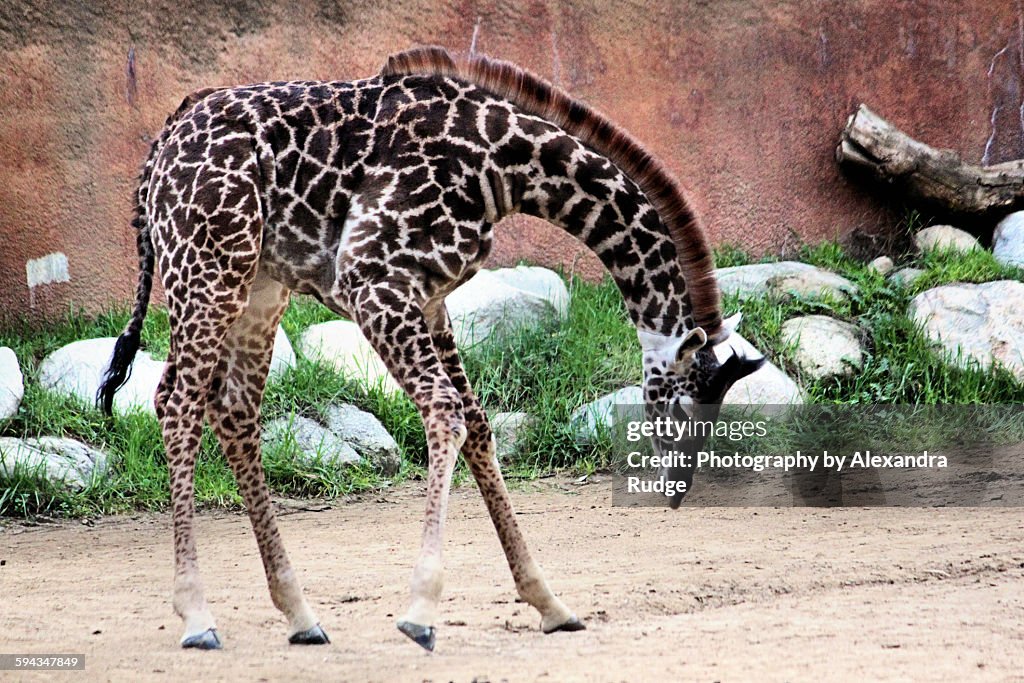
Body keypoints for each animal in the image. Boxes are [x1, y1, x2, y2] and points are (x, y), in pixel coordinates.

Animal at [99, 45, 765, 655]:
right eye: (683, 408)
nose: (675, 493)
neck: (504, 169)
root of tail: (159, 145)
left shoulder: (431, 300)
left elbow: (478, 426)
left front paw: (550, 603)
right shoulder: (372, 281)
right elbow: (445, 412)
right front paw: (420, 611)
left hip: (259, 285)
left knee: (233, 410)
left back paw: (300, 615)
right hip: (210, 269)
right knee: (178, 402)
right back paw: (197, 617)